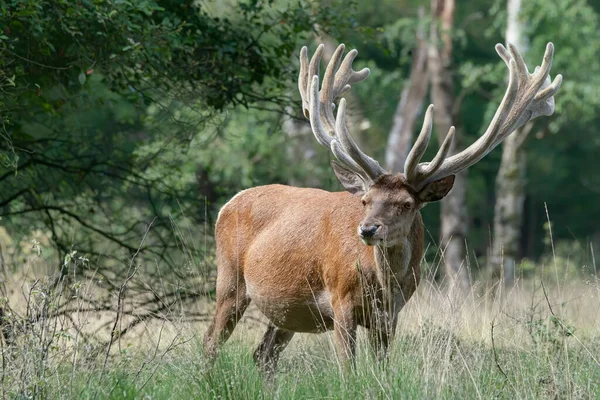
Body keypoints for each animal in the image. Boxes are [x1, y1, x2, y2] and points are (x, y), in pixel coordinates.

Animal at [205, 41, 564, 372]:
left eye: (406, 203)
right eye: (365, 200)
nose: (367, 229)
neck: (383, 284)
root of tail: (227, 205)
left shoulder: (390, 314)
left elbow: (381, 367)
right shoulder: (340, 300)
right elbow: (348, 369)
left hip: (287, 312)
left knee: (263, 354)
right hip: (230, 280)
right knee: (211, 342)